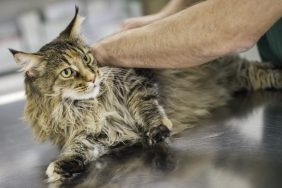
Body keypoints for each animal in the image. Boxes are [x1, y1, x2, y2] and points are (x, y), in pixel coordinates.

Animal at [9, 6, 282, 182]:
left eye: (87, 59)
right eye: (67, 72)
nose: (93, 77)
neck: (86, 106)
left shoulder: (137, 81)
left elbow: (147, 107)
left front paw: (157, 130)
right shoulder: (93, 134)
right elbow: (77, 147)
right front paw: (63, 166)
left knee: (261, 71)